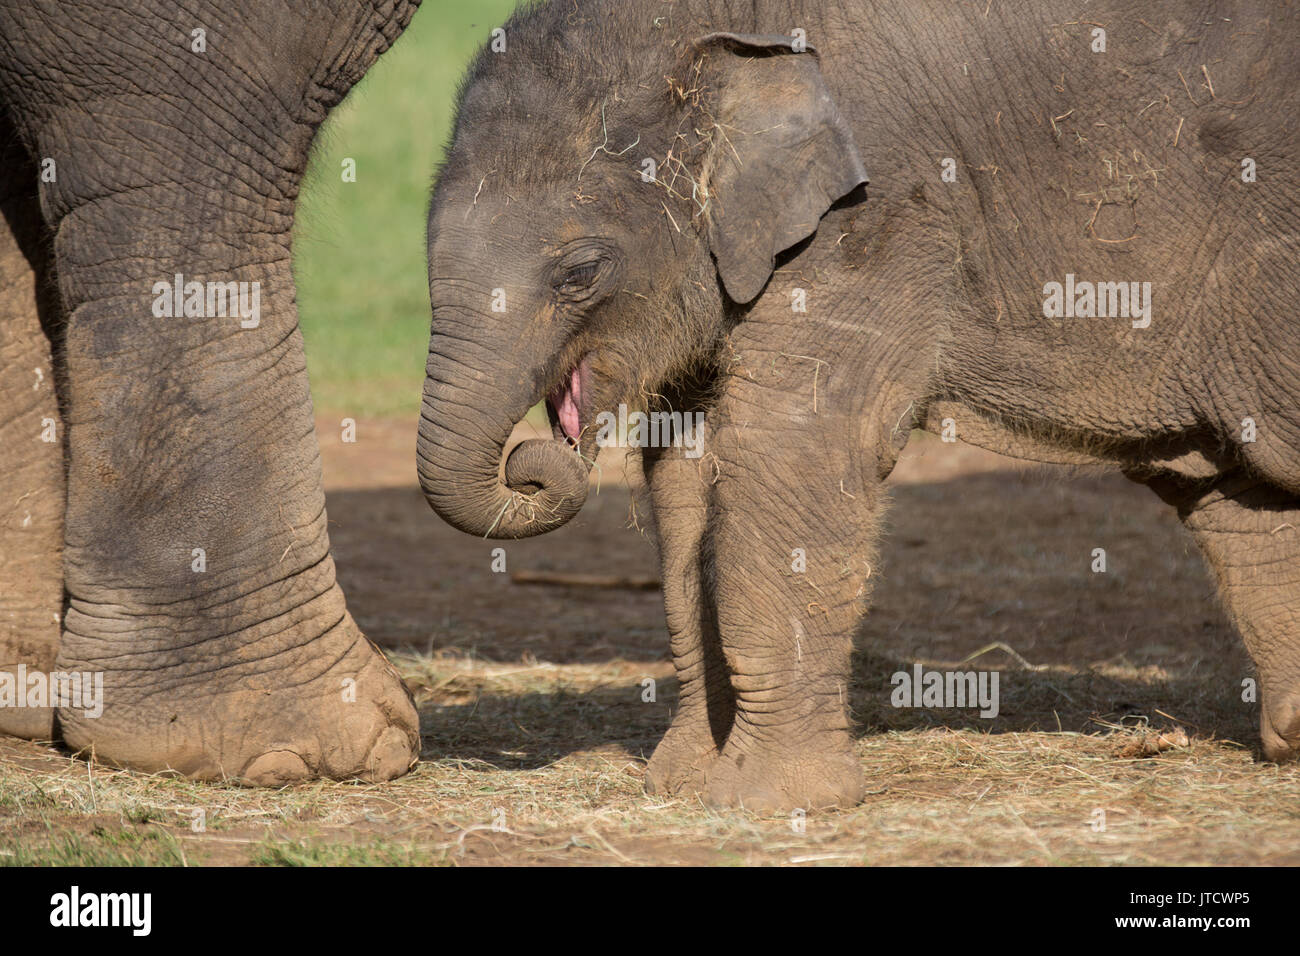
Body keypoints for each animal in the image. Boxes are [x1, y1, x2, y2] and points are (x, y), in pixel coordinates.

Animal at [423, 0, 1300, 816]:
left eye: (580, 272)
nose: (537, 460)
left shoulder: (878, 216)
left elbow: (789, 450)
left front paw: (771, 802)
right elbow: (684, 475)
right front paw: (681, 785)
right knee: (1236, 496)